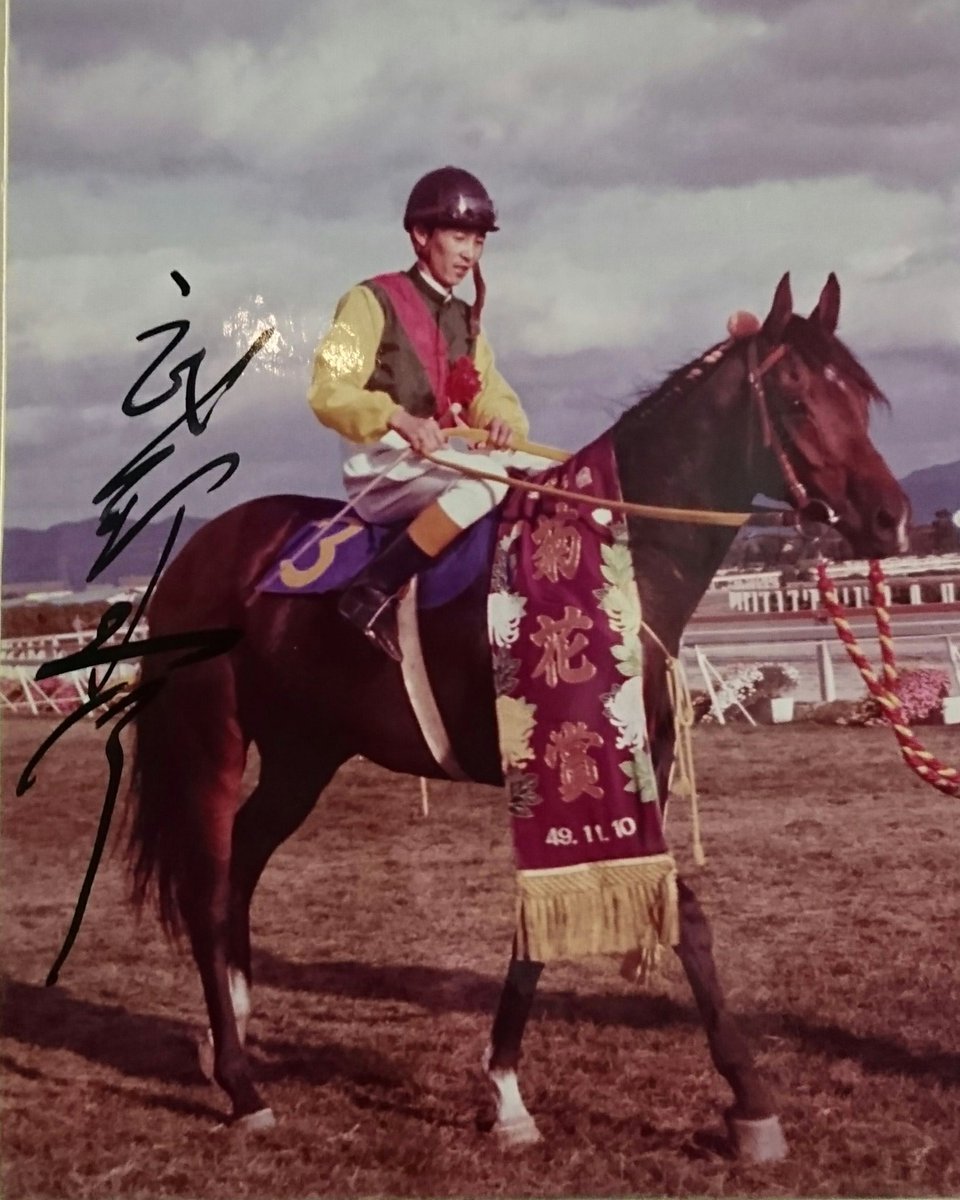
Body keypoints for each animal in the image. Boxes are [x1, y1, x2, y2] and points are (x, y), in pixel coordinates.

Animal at [126, 273, 909, 1160]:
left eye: (860, 398)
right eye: (798, 400)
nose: (890, 517)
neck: (613, 558)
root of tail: (197, 553)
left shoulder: (620, 775)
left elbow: (600, 926)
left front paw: (517, 1090)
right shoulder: (561, 768)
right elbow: (639, 918)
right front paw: (736, 1098)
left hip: (304, 754)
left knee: (242, 868)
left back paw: (232, 1027)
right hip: (210, 744)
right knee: (207, 886)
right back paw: (240, 1081)